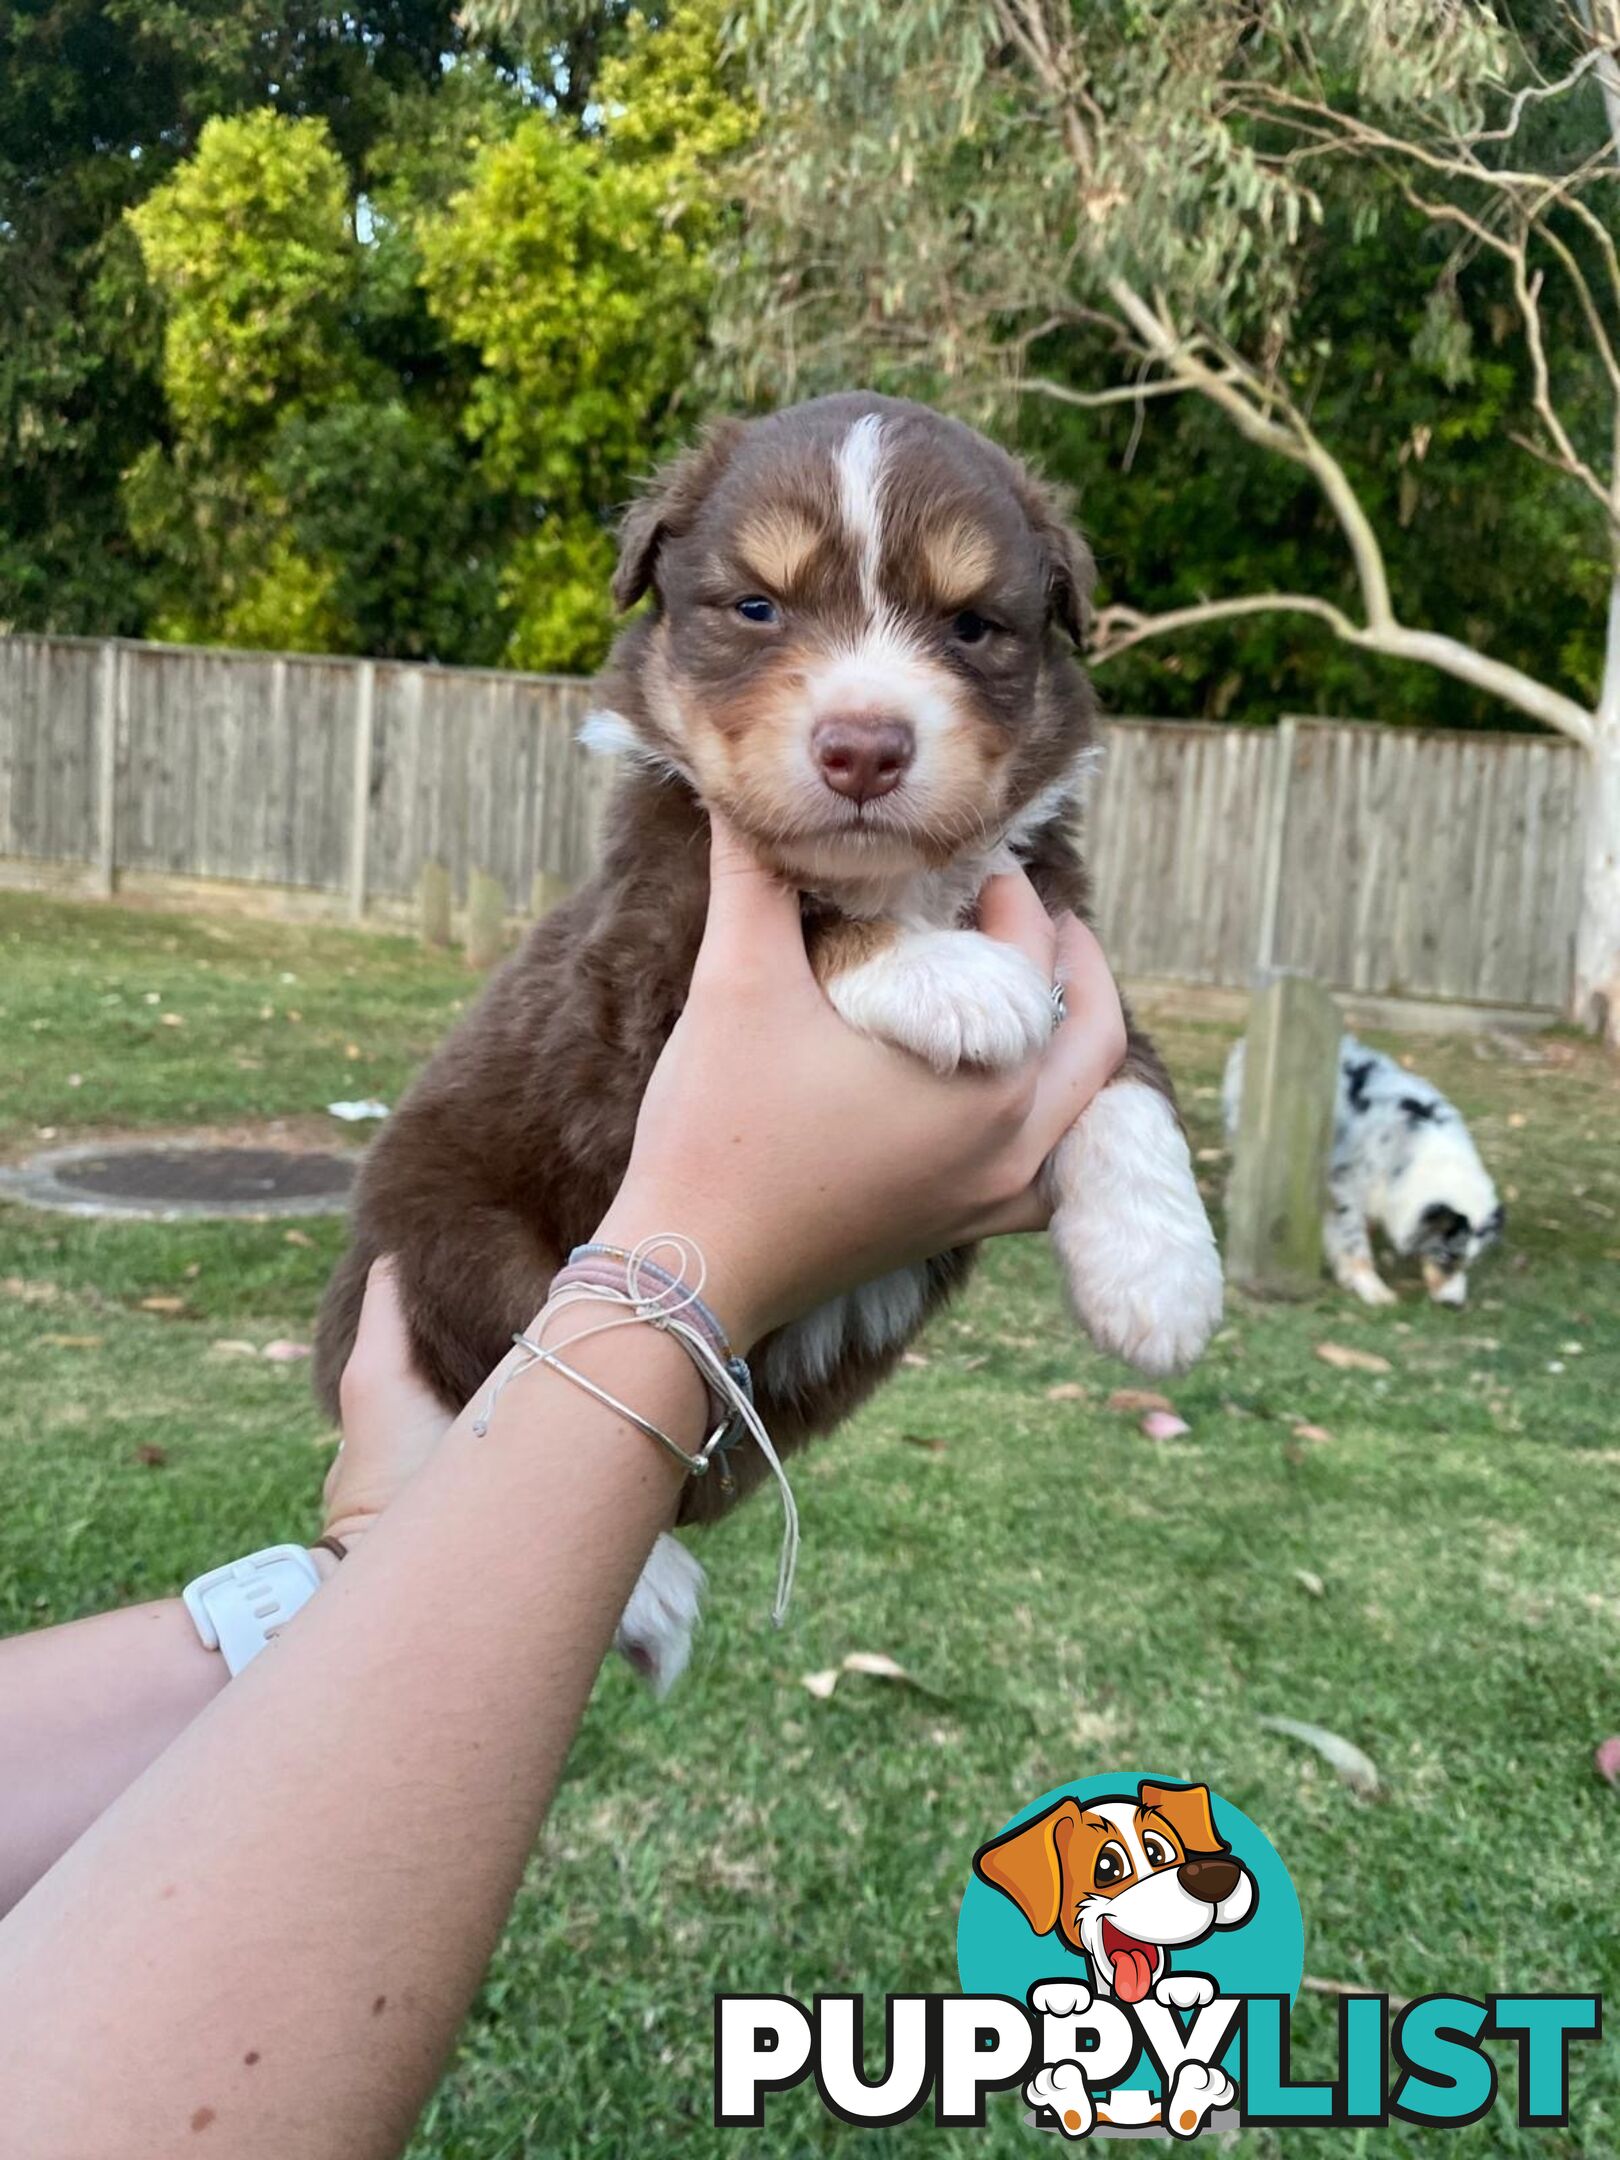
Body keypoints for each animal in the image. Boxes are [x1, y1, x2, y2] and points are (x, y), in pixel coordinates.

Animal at [317, 397, 1226, 1693]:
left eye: (972, 625)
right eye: (757, 607)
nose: (864, 747)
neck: (908, 878)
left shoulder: (1064, 923)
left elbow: (1125, 1074)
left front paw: (1159, 1279)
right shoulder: (643, 987)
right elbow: (821, 916)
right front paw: (951, 977)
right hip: (451, 1242)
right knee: (475, 1387)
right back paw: (647, 1587)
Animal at [1226, 1036, 1512, 1304]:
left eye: (1469, 1262)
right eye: (1446, 1256)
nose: (1454, 1305)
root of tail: (1243, 1044)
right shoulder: (1343, 1186)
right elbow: (1354, 1241)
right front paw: (1371, 1287)